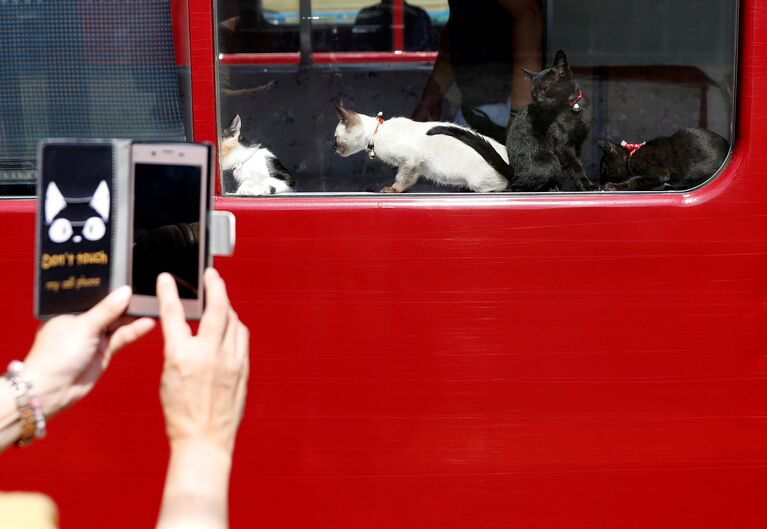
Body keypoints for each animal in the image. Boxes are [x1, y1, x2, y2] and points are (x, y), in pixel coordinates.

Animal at [334, 102, 510, 192]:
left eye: (336, 139)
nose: (335, 149)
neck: (376, 133)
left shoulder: (410, 159)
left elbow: (401, 178)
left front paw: (393, 189)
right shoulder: (414, 166)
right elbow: (408, 180)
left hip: (477, 182)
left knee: (503, 186)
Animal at [426, 49, 600, 192]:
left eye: (545, 89)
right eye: (533, 93)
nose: (538, 100)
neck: (572, 107)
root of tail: (514, 169)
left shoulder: (577, 143)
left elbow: (578, 164)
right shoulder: (563, 146)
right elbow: (575, 167)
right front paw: (587, 186)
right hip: (550, 160)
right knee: (517, 185)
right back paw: (549, 187)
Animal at [596, 127, 728, 191]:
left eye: (603, 170)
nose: (600, 181)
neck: (631, 155)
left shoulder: (659, 172)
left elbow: (635, 180)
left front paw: (613, 186)